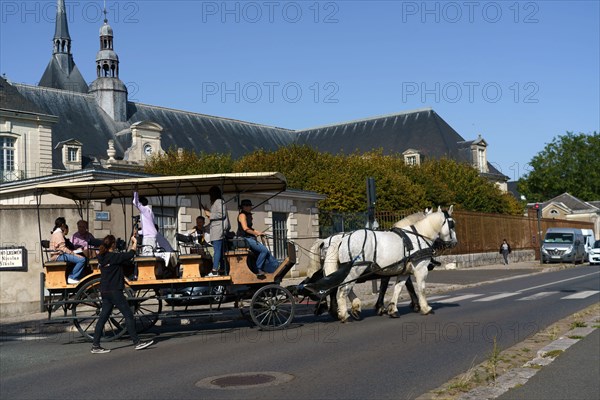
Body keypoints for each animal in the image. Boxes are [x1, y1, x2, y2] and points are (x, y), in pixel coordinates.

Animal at [330, 206, 458, 322]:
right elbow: (421, 288)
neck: (418, 235)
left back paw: (352, 309)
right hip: (355, 270)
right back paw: (344, 315)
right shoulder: (420, 269)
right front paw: (425, 308)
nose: (455, 243)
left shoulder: (404, 271)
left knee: (343, 288)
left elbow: (398, 288)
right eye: (452, 224)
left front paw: (392, 309)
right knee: (342, 289)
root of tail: (343, 239)